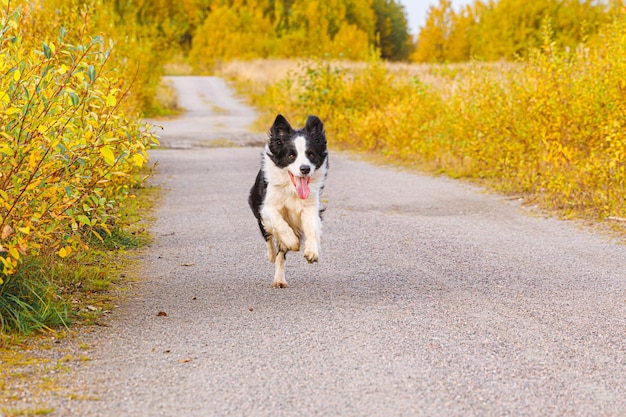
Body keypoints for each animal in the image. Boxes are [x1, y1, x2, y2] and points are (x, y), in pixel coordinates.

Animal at [247, 115, 330, 288]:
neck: (291, 189)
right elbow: (279, 223)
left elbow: (312, 228)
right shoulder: (267, 206)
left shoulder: (310, 207)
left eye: (311, 154)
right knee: (269, 238)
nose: (305, 169)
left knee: (280, 256)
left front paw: (312, 252)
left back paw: (279, 280)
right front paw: (292, 241)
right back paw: (272, 255)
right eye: (291, 155)